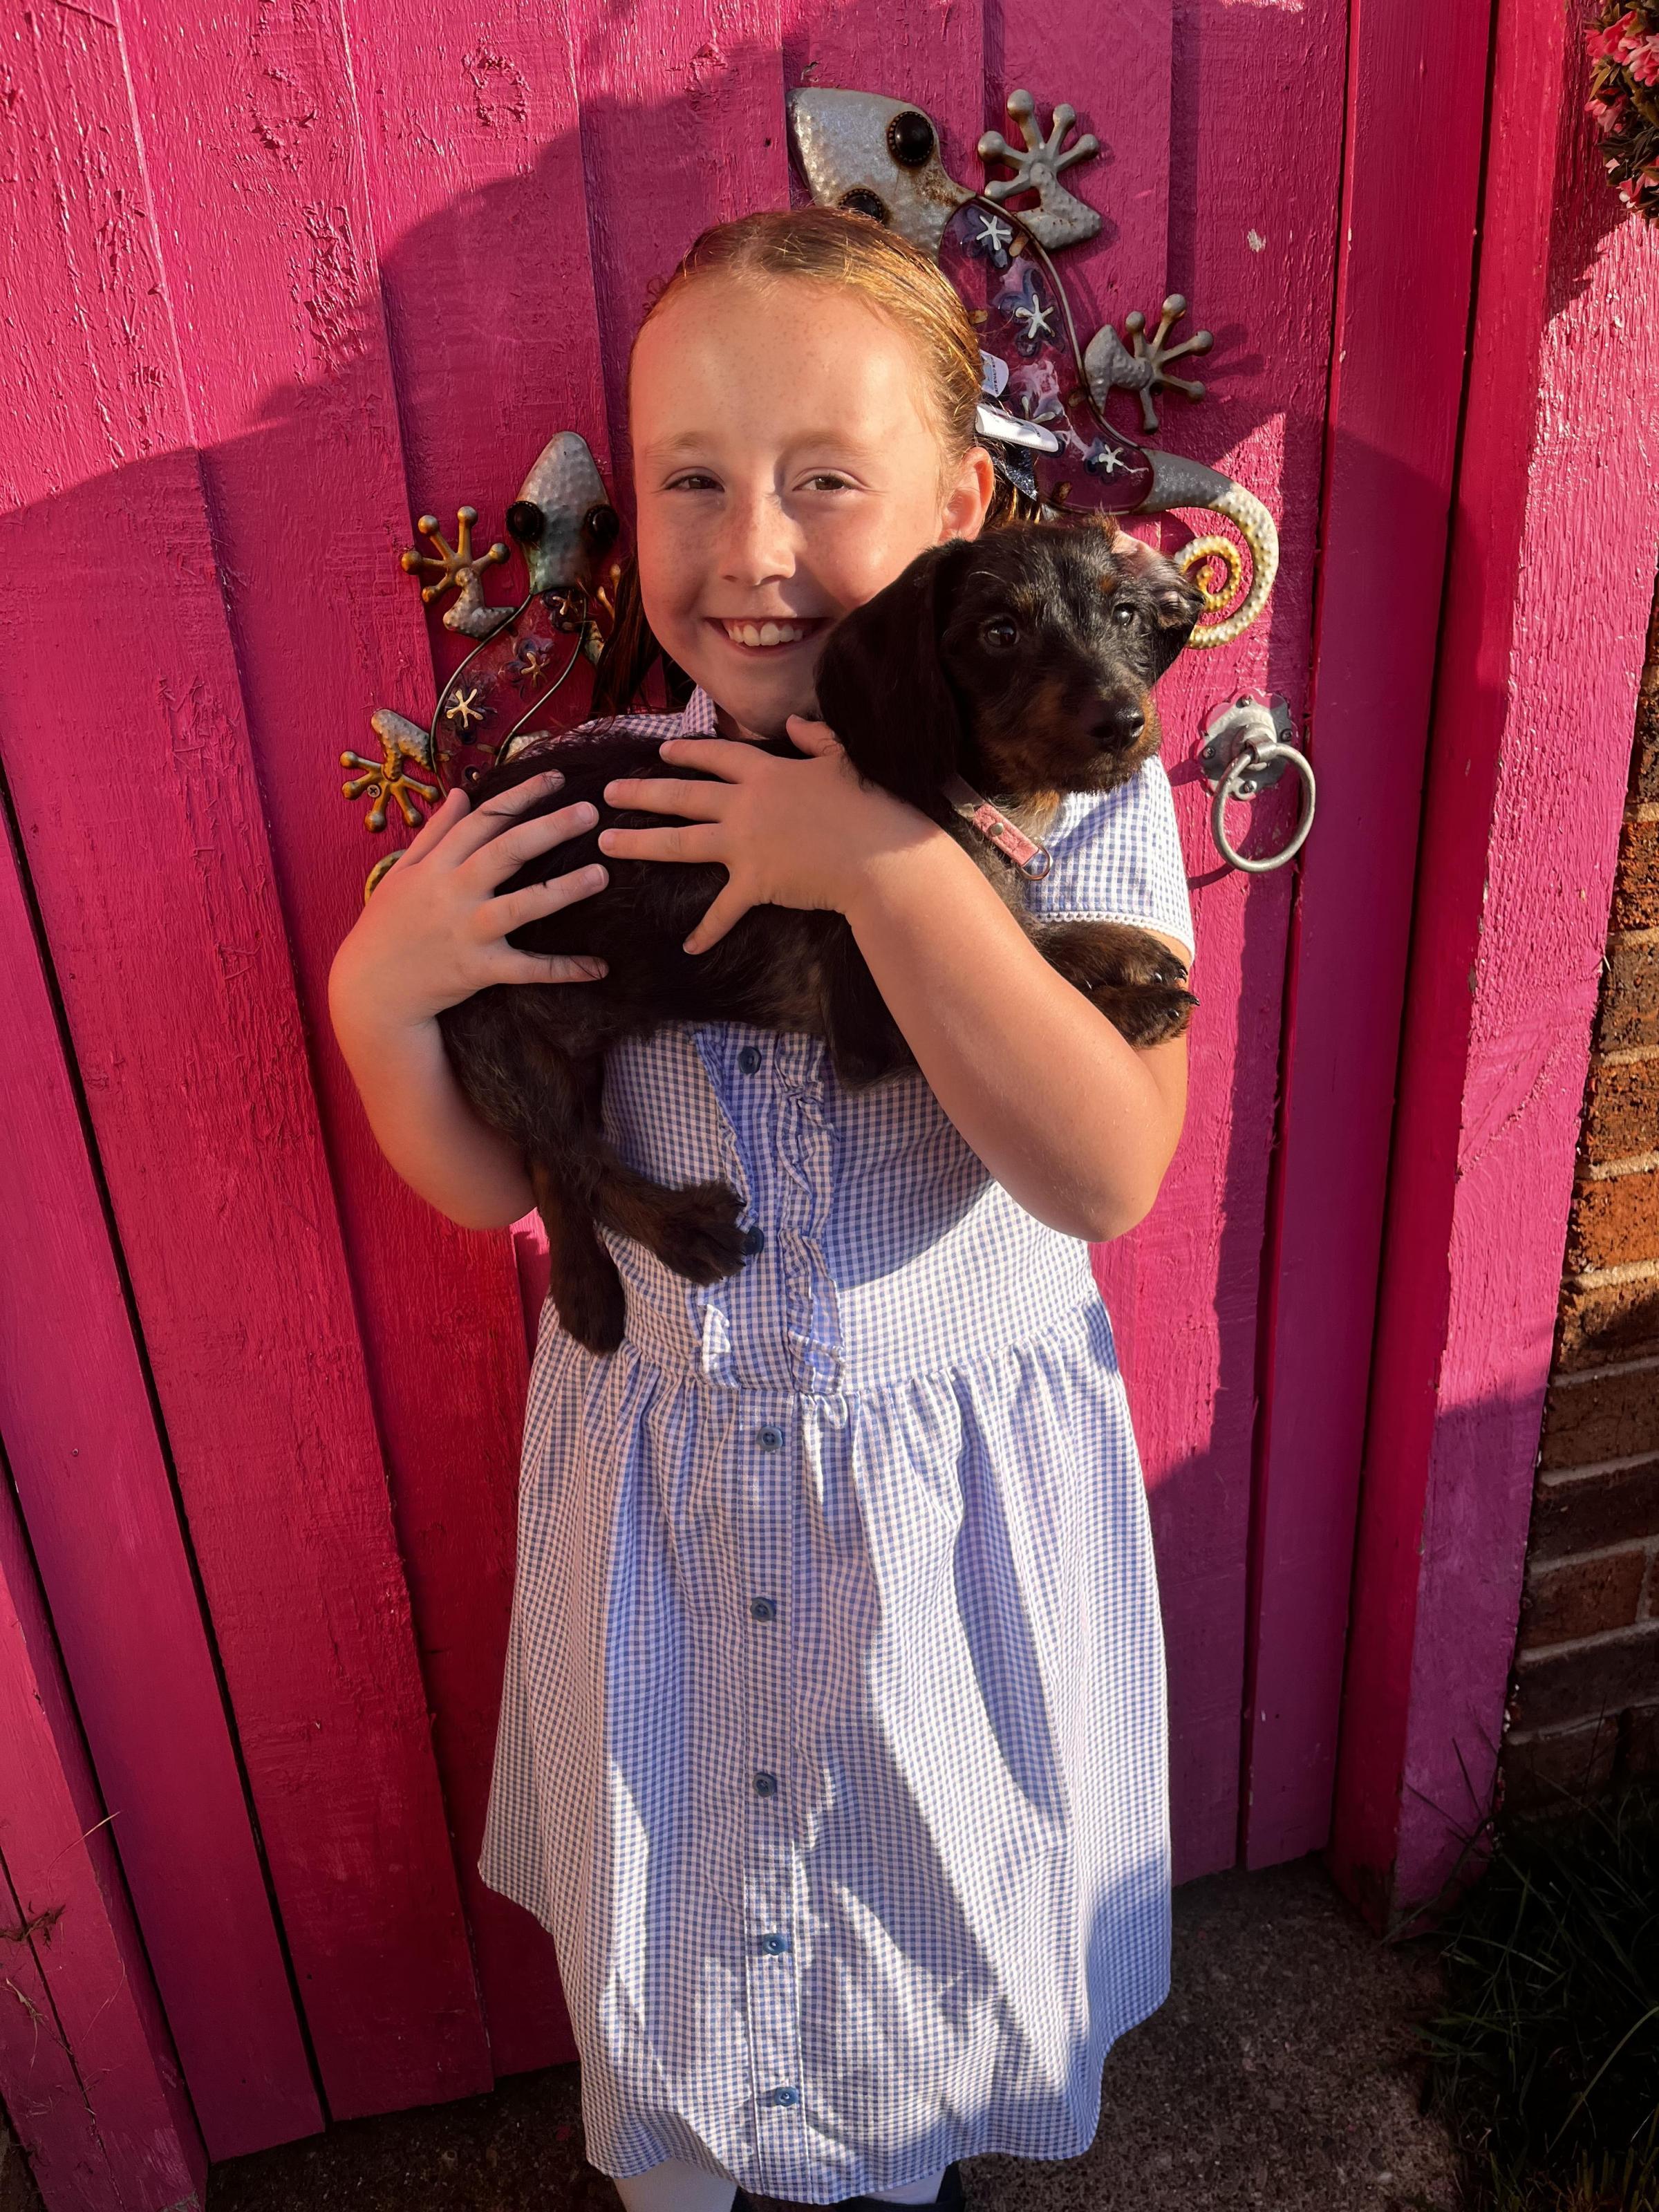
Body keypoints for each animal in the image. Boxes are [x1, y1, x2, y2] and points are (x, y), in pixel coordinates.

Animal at [435, 517, 1203, 1344]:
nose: (1122, 722)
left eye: (1124, 614)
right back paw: (670, 1236)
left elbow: (1030, 934)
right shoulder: (872, 1027)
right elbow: (1037, 962)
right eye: (1000, 632)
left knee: (551, 1162)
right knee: (574, 1161)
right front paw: (1132, 1003)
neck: (964, 796)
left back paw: (588, 1290)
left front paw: (1121, 947)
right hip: (512, 1042)